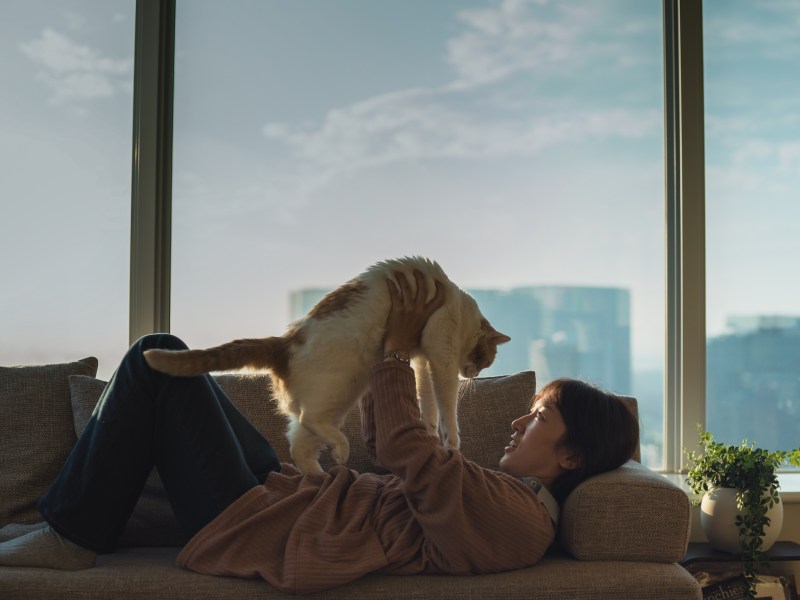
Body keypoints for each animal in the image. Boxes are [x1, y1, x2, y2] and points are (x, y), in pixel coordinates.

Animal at [141, 256, 510, 474]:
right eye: (485, 360)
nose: (473, 374)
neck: (460, 307)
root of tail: (285, 343)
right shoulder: (440, 357)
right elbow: (446, 403)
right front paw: (452, 443)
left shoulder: (420, 359)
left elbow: (428, 402)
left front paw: (432, 432)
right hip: (340, 388)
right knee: (310, 420)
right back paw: (340, 456)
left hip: (335, 401)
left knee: (299, 445)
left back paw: (320, 480)